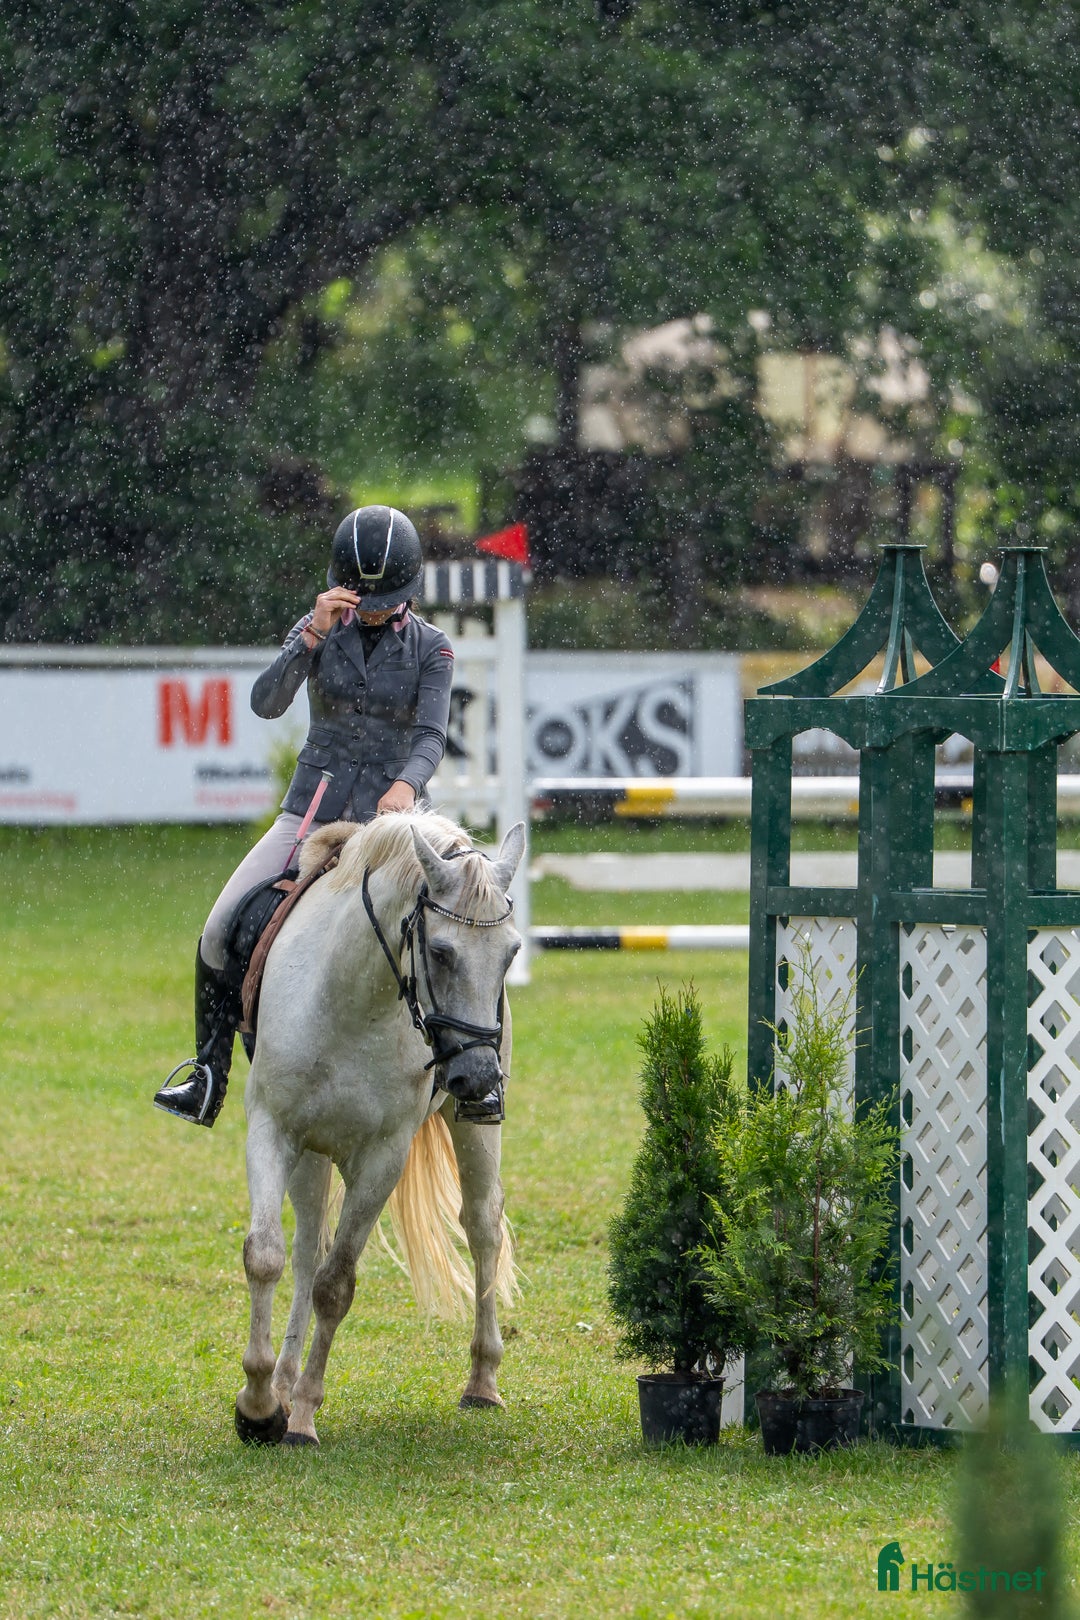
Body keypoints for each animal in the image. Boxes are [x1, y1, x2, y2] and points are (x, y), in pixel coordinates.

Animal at [233, 808, 525, 1447]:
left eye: (512, 953)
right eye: (439, 951)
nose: (475, 1077)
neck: (350, 1000)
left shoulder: (382, 1159)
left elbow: (336, 1285)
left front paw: (301, 1417)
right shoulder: (272, 1128)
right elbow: (266, 1256)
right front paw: (260, 1406)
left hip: (471, 1132)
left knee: (482, 1225)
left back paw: (482, 1381)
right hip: (313, 1150)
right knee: (305, 1247)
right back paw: (283, 1381)